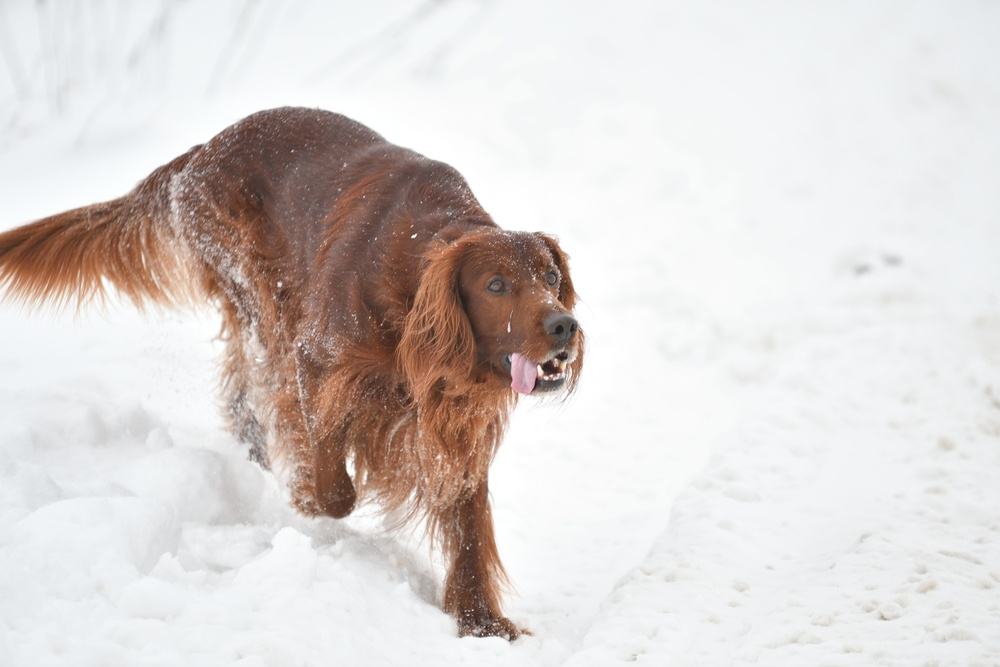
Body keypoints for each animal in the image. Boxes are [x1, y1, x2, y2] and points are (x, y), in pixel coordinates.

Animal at [0, 107, 584, 640]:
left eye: (551, 276)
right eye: (495, 285)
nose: (565, 325)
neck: (412, 282)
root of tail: (199, 154)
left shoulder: (454, 417)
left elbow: (467, 523)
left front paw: (480, 622)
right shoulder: (317, 360)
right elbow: (331, 469)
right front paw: (309, 495)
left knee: (241, 388)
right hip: (261, 293)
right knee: (266, 387)